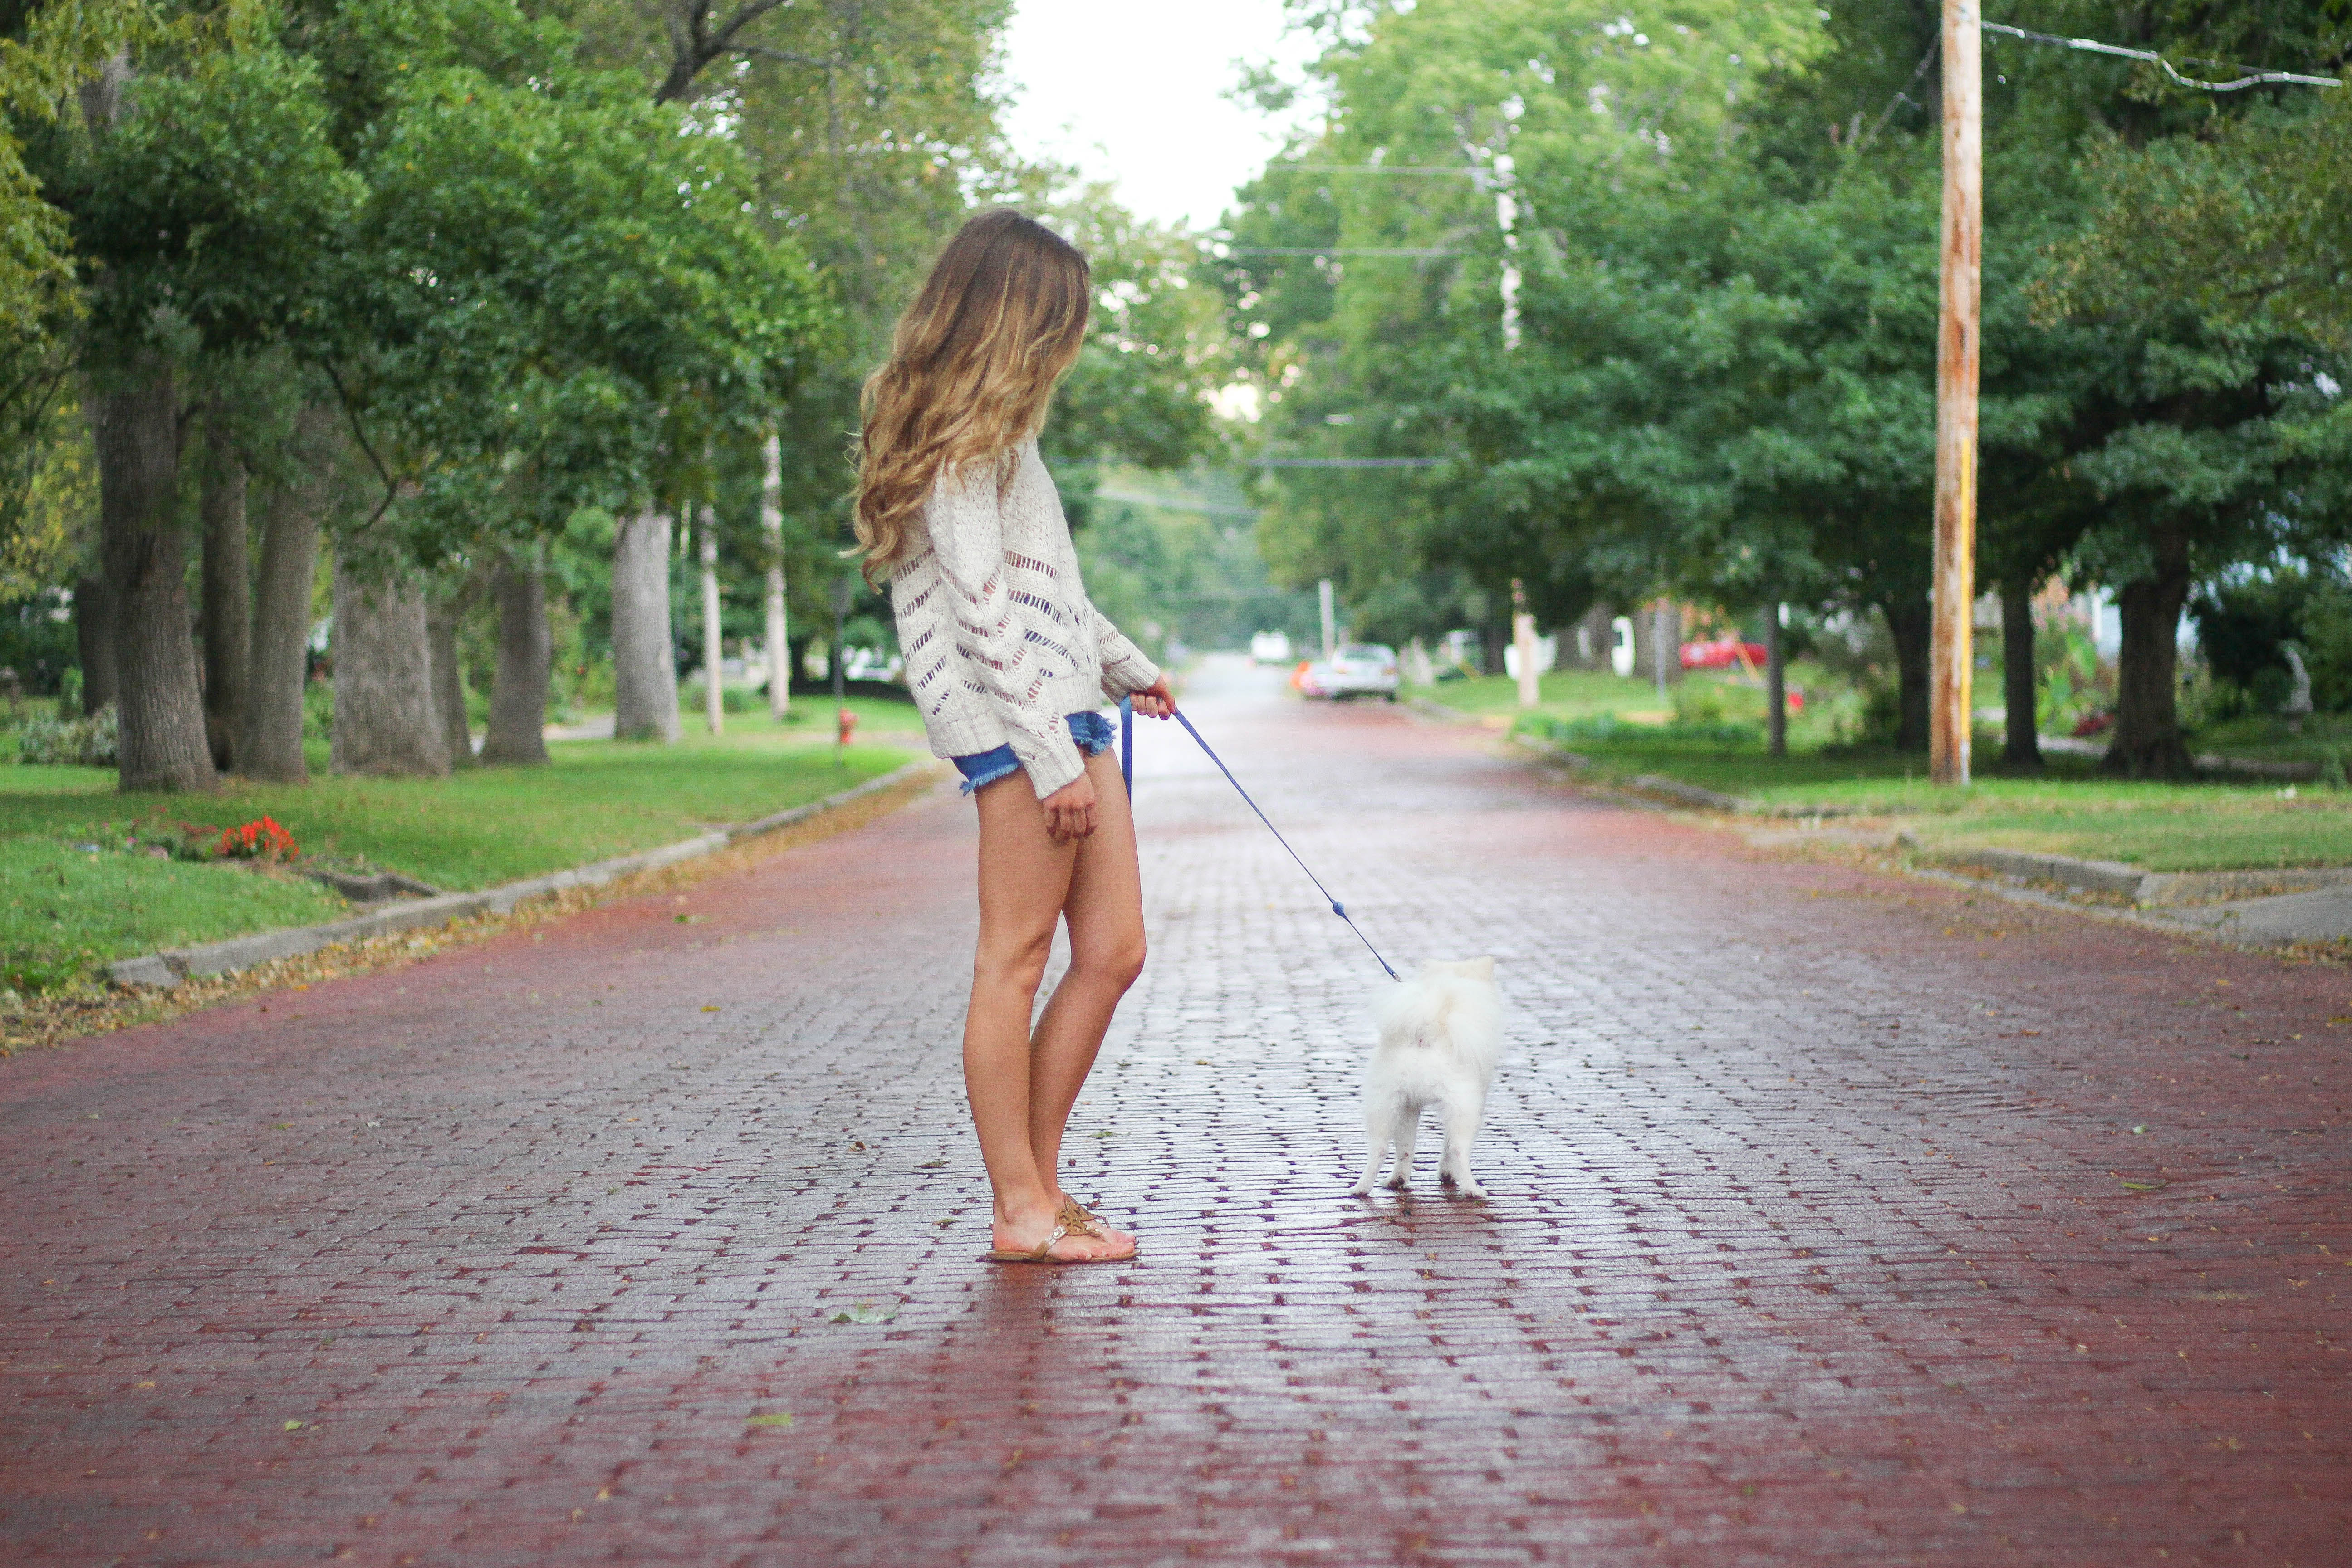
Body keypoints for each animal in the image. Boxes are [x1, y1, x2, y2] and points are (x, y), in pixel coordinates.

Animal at [1354, 959, 1496, 1203]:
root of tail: (1428, 1032)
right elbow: (1447, 1147)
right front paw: (1447, 1175)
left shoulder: (1411, 1105)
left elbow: (1405, 1149)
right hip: (1463, 1108)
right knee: (1459, 1149)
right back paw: (1472, 1190)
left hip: (1385, 1104)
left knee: (1380, 1149)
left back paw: (1366, 1187)